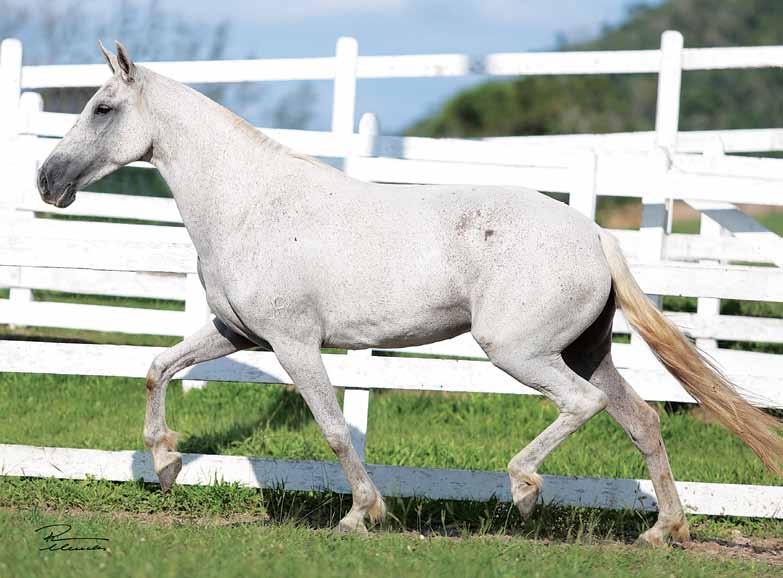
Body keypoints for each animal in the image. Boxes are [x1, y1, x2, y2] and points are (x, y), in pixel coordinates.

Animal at [36, 42, 783, 544]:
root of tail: (595, 234)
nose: (47, 181)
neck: (248, 204)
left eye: (102, 108)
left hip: (519, 352)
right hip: (584, 349)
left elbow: (334, 429)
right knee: (642, 420)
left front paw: (359, 514)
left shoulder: (293, 342)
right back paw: (664, 530)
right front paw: (165, 463)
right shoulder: (236, 333)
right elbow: (157, 367)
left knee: (585, 405)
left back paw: (524, 490)